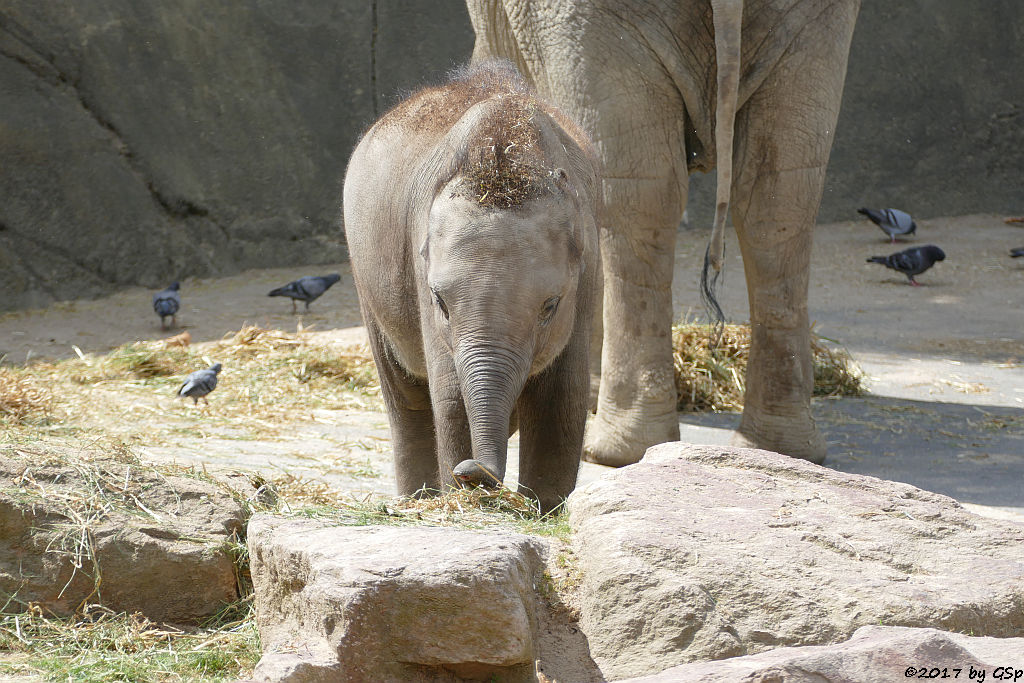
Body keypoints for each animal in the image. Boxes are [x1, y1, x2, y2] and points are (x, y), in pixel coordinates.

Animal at [344, 60, 598, 511]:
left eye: (550, 306)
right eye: (440, 302)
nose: (472, 472)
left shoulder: (586, 284)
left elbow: (563, 401)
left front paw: (544, 511)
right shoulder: (420, 270)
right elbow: (451, 401)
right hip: (366, 280)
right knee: (406, 401)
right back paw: (417, 499)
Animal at [468, 0, 860, 464]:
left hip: (577, 17)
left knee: (633, 188)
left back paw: (617, 451)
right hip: (815, 17)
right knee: (780, 188)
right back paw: (781, 449)